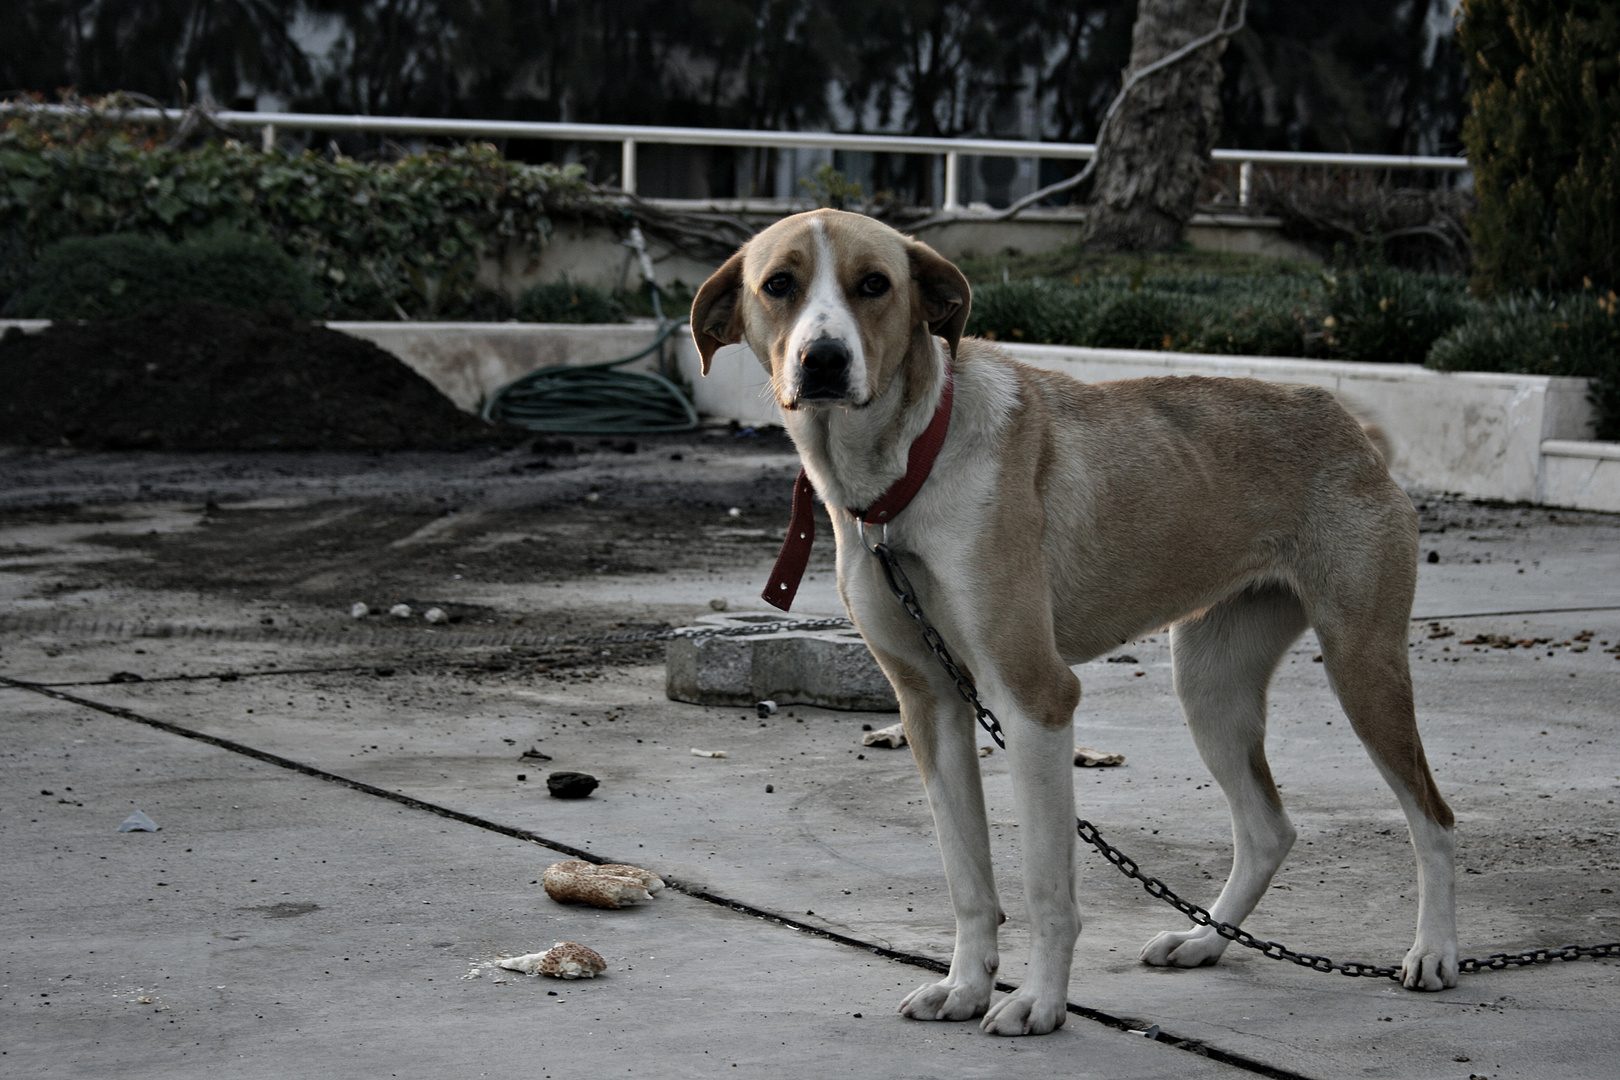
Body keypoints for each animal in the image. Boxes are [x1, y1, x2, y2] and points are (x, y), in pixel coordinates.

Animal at [683, 208, 1458, 1036]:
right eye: (778, 285)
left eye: (874, 285)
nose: (823, 359)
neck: (909, 470)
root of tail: (1346, 422)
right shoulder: (930, 705)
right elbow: (967, 879)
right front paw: (964, 986)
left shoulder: (1036, 699)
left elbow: (1044, 888)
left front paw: (1040, 1003)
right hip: (1211, 688)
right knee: (1267, 829)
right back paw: (1203, 942)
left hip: (1363, 666)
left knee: (1433, 819)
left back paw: (1434, 952)